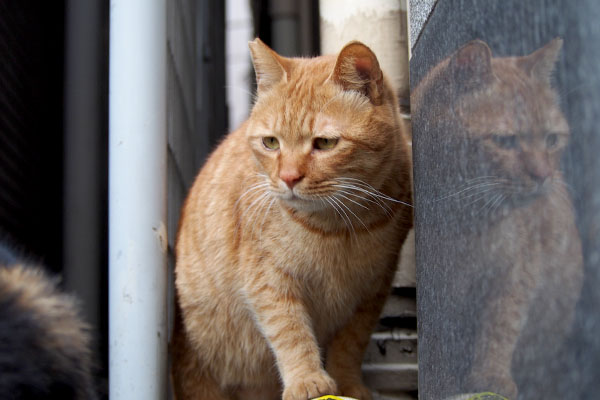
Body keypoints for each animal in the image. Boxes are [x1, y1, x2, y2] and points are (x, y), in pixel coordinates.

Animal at [171, 38, 410, 400]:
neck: (339, 227)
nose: (288, 178)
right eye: (271, 142)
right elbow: (290, 331)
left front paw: (348, 385)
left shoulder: (373, 289)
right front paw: (307, 380)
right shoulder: (269, 280)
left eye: (325, 143)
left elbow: (351, 344)